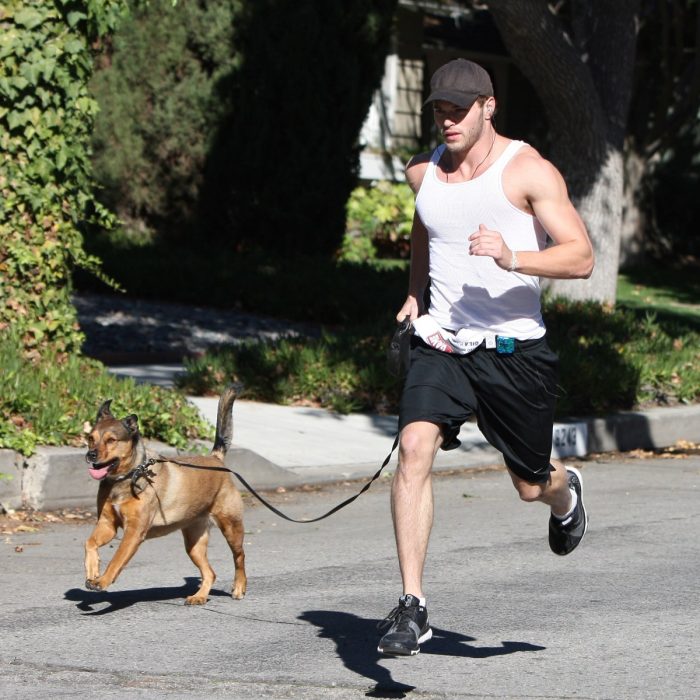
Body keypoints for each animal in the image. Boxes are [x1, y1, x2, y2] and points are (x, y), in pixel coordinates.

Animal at [83, 386, 246, 604]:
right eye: (90, 438)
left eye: (111, 440)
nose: (90, 455)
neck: (127, 476)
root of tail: (216, 459)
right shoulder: (107, 524)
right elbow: (90, 543)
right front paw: (92, 570)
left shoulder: (134, 532)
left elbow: (117, 559)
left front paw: (102, 580)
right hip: (194, 542)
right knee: (210, 573)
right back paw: (200, 596)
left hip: (231, 526)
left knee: (239, 557)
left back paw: (239, 588)